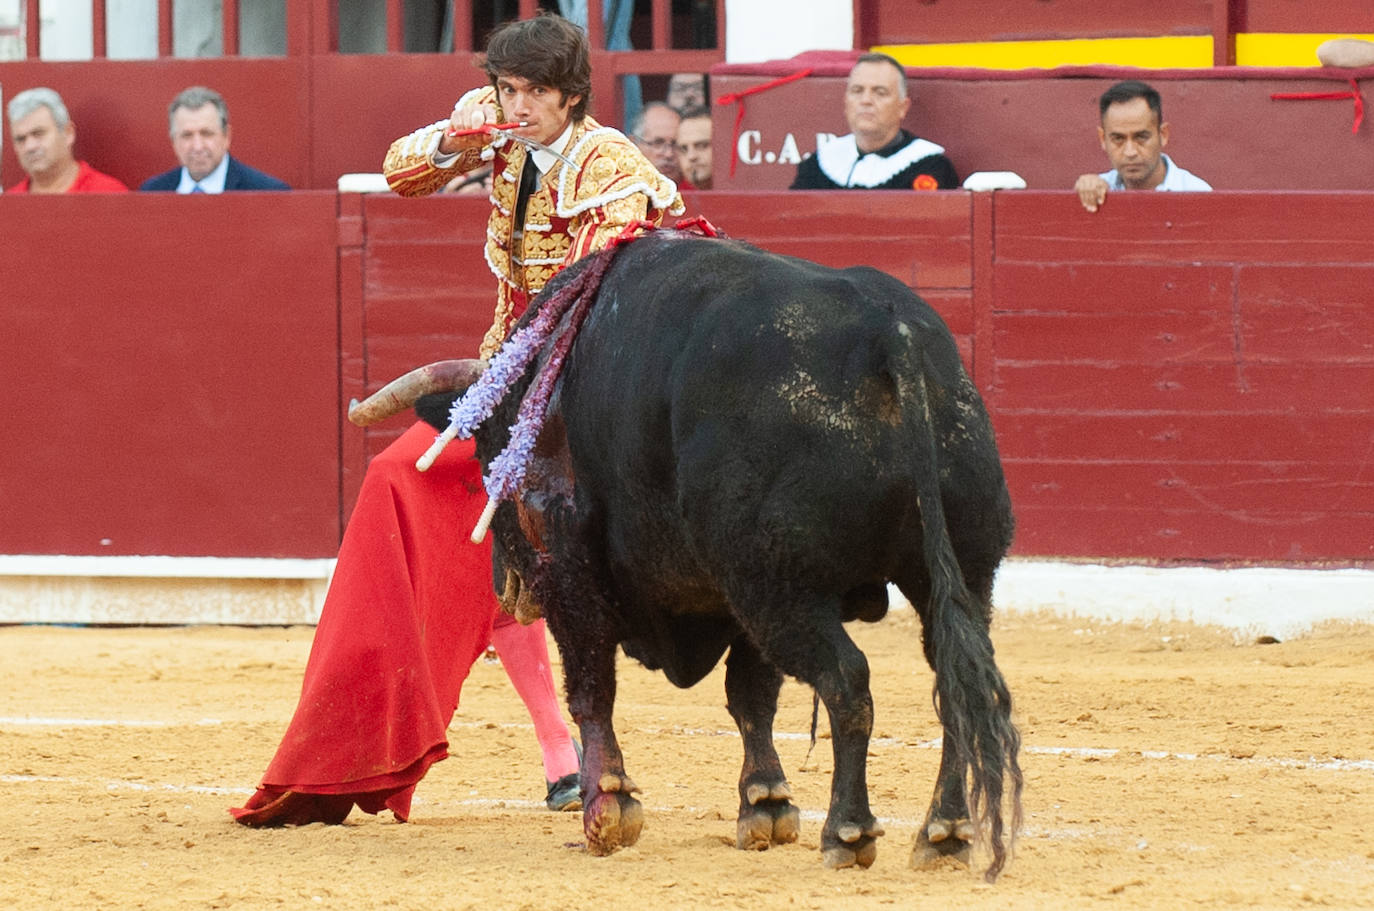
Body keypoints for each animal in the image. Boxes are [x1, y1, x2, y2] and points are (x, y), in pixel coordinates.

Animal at [406, 232, 1022, 879]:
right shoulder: (730, 600)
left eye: (483, 460)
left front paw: (608, 809)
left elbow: (592, 689)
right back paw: (944, 831)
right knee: (954, 682)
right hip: (958, 574)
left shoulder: (572, 573)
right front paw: (766, 806)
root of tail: (888, 332)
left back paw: (848, 831)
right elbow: (751, 696)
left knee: (848, 680)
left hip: (779, 587)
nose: (506, 590)